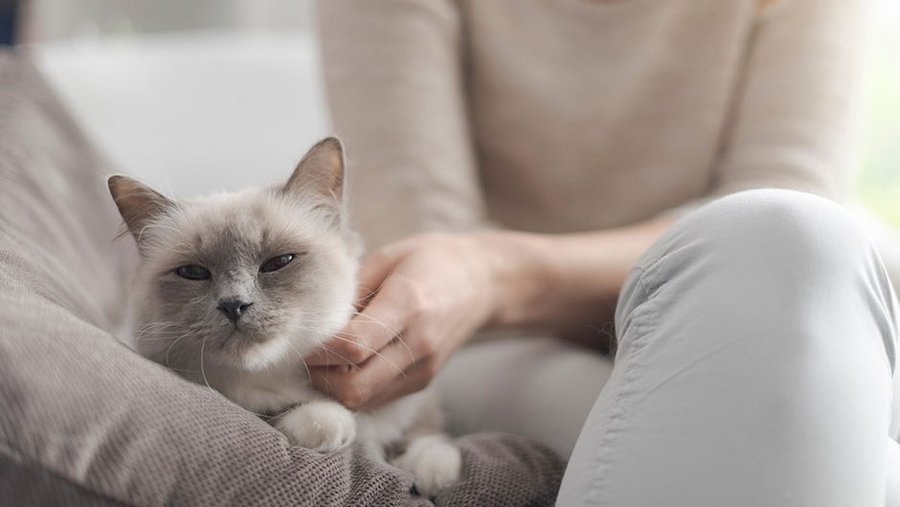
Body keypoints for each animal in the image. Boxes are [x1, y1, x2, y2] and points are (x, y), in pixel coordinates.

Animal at [107, 138, 464, 496]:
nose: (234, 305)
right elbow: (282, 413)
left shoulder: (412, 400)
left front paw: (434, 472)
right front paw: (327, 423)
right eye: (194, 273)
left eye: (278, 263)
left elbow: (425, 432)